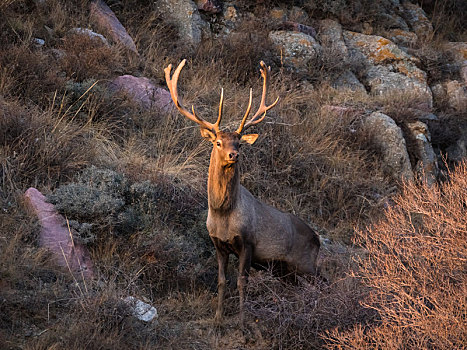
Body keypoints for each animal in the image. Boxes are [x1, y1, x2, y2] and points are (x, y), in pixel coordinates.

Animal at [165, 58, 322, 324]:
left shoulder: (248, 243)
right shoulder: (218, 244)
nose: (233, 155)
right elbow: (221, 281)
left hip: (305, 264)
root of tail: (318, 239)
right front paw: (218, 318)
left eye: (238, 143)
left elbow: (241, 282)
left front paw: (241, 320)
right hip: (287, 271)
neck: (223, 215)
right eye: (218, 142)